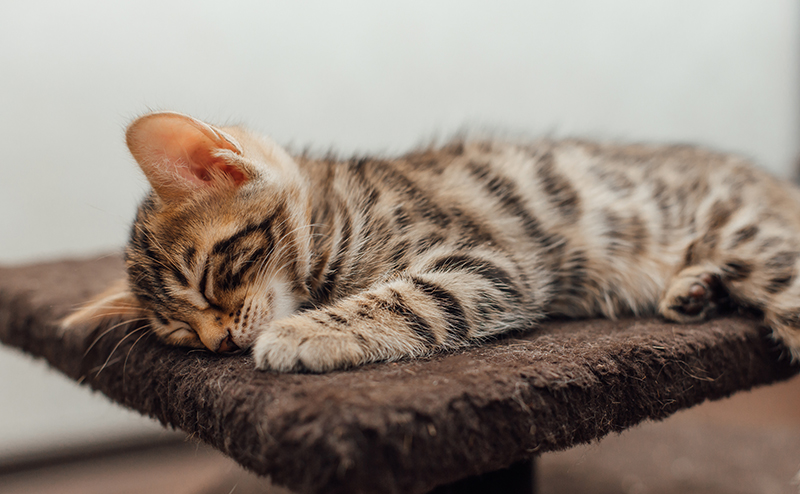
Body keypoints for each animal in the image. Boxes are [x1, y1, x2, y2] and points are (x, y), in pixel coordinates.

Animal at [61, 111, 800, 370]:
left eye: (211, 279)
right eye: (180, 334)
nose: (216, 344)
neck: (333, 212)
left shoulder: (487, 263)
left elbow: (409, 297)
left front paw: (301, 334)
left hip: (753, 239)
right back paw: (694, 289)